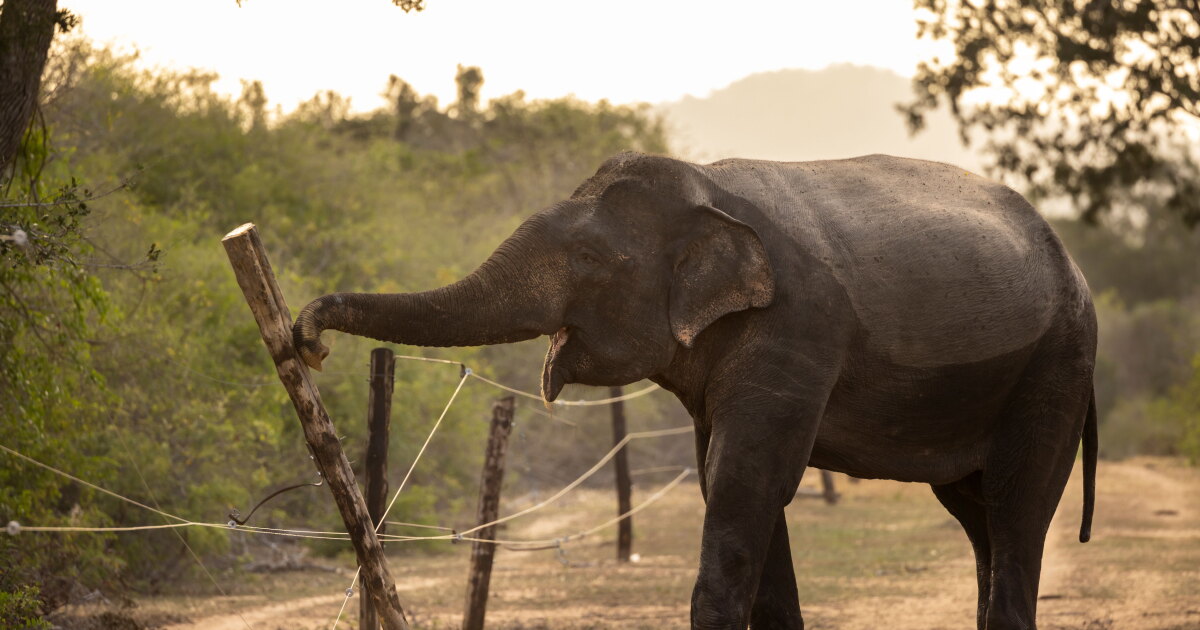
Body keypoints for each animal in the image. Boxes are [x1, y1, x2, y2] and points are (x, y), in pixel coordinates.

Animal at [293, 152, 1098, 630]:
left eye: (587, 257)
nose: (308, 339)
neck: (709, 190)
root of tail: (1073, 264)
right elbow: (727, 480)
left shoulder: (797, 328)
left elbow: (749, 479)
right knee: (976, 513)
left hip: (1057, 366)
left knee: (1017, 507)